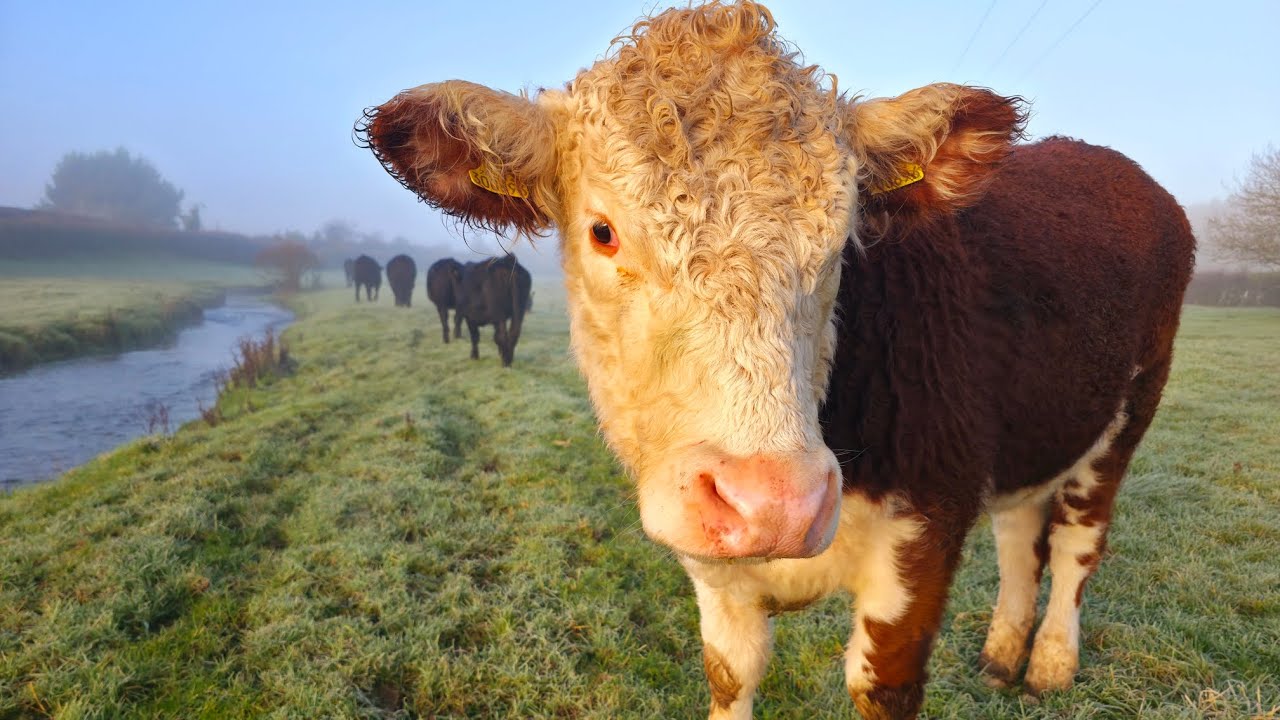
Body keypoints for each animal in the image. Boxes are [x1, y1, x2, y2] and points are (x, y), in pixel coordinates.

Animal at [356, 3, 1195, 718]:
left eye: (844, 235)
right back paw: (1001, 652)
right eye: (602, 231)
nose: (774, 503)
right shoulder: (713, 568)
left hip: (1127, 416)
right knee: (1021, 533)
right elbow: (732, 674)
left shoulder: (924, 539)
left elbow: (884, 682)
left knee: (1078, 540)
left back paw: (1050, 660)